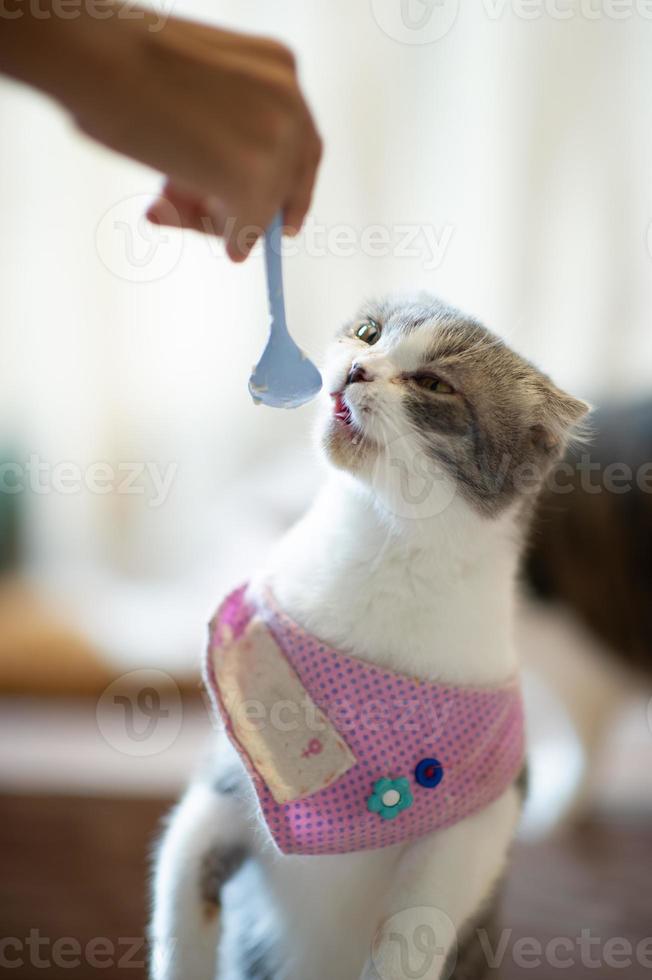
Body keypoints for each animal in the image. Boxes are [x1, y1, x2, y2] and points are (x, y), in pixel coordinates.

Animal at [150, 296, 588, 980]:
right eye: (368, 332)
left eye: (434, 384)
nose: (357, 368)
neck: (386, 549)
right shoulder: (222, 785)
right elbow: (179, 908)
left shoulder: (478, 821)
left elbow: (412, 936)